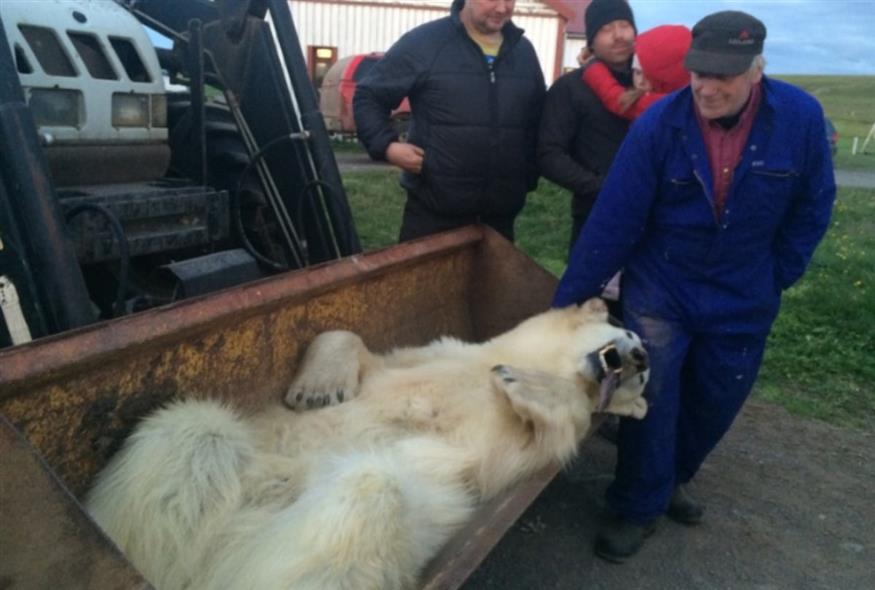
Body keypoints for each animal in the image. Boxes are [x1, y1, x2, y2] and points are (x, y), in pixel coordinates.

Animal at [87, 300, 652, 590]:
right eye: (623, 326)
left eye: (644, 378)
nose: (641, 356)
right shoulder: (428, 353)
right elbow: (357, 346)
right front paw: (318, 389)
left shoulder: (515, 447)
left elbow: (560, 424)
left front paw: (519, 380)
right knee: (189, 434)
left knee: (366, 503)